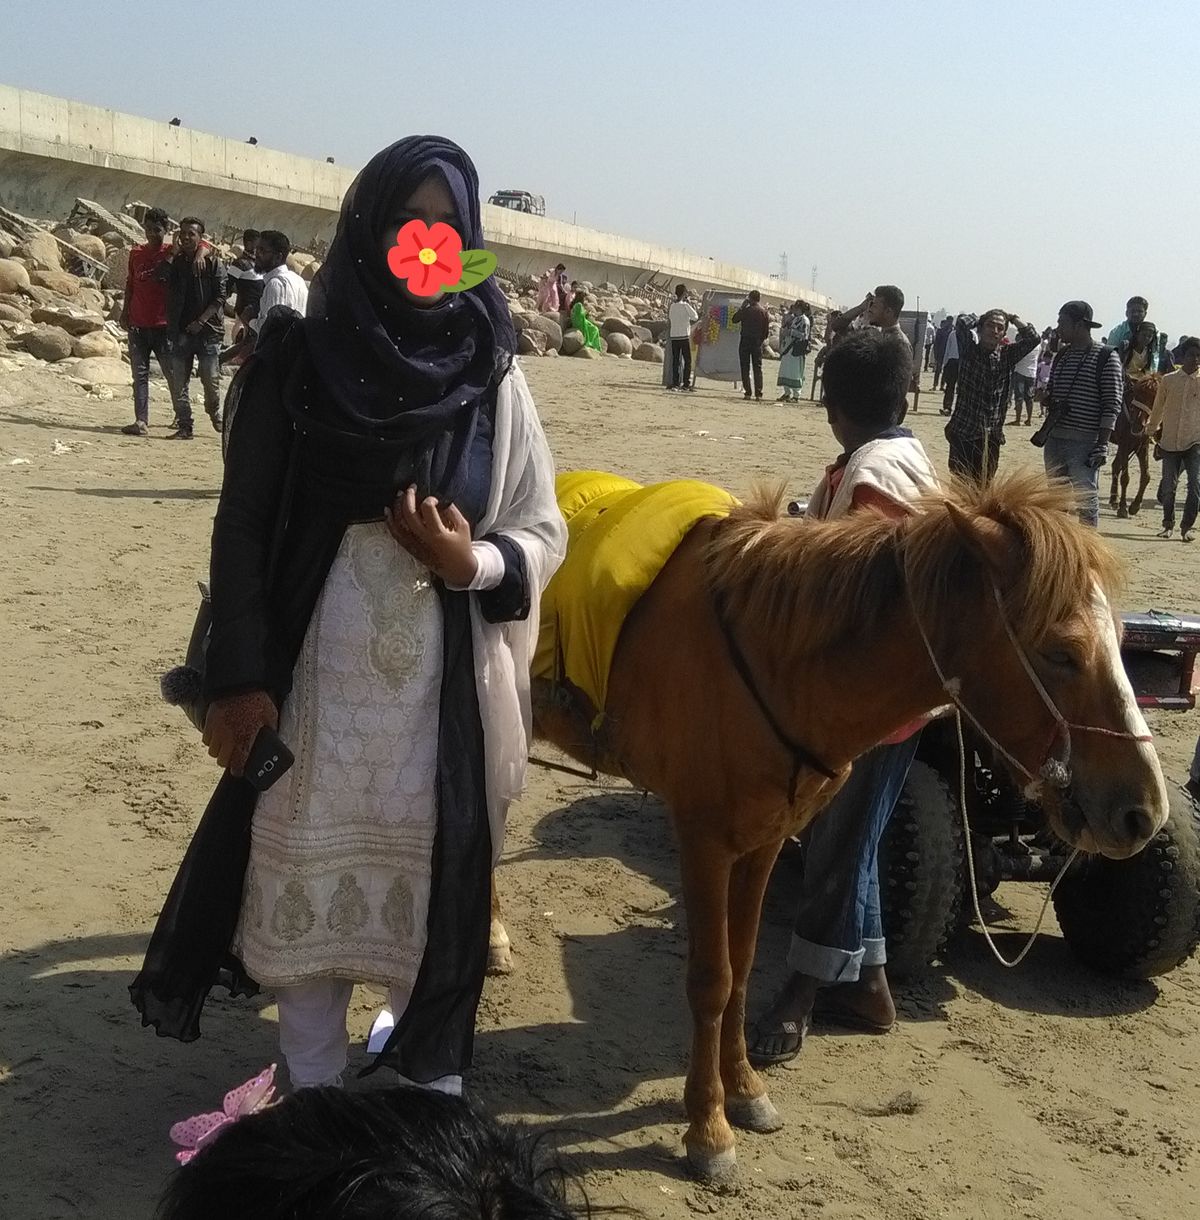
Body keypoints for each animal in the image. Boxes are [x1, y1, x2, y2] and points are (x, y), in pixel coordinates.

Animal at [492, 471, 1168, 1184]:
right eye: (1060, 652)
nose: (1144, 810)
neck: (775, 657)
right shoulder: (703, 840)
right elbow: (711, 980)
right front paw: (708, 1128)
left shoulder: (761, 840)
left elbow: (742, 966)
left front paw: (745, 1091)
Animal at [1110, 373, 1160, 518]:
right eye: (1138, 395)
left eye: (1154, 398)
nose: (1138, 424)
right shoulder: (1124, 444)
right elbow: (1125, 478)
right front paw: (1123, 508)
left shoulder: (1141, 446)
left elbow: (1146, 476)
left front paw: (1135, 506)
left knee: (1115, 466)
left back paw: (1114, 499)